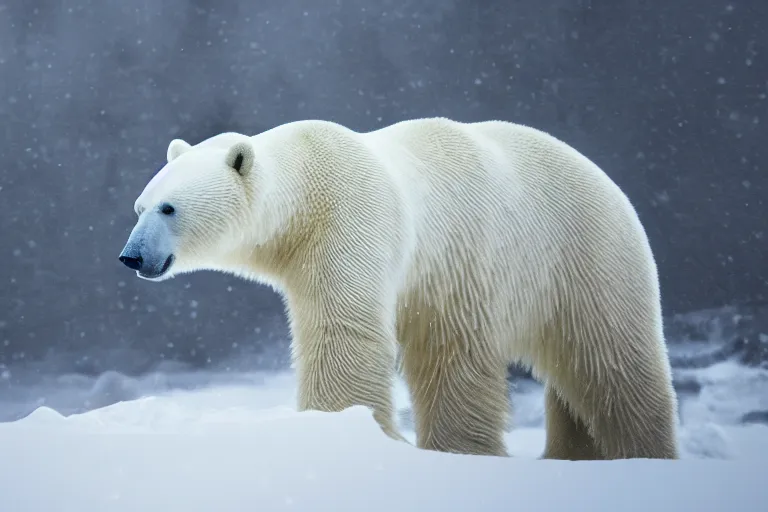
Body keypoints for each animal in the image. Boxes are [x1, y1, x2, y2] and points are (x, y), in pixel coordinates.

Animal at [118, 119, 680, 460]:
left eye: (169, 208)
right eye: (140, 207)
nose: (131, 256)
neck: (310, 175)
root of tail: (603, 177)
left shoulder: (350, 221)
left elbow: (343, 332)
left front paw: (342, 429)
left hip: (577, 257)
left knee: (609, 360)